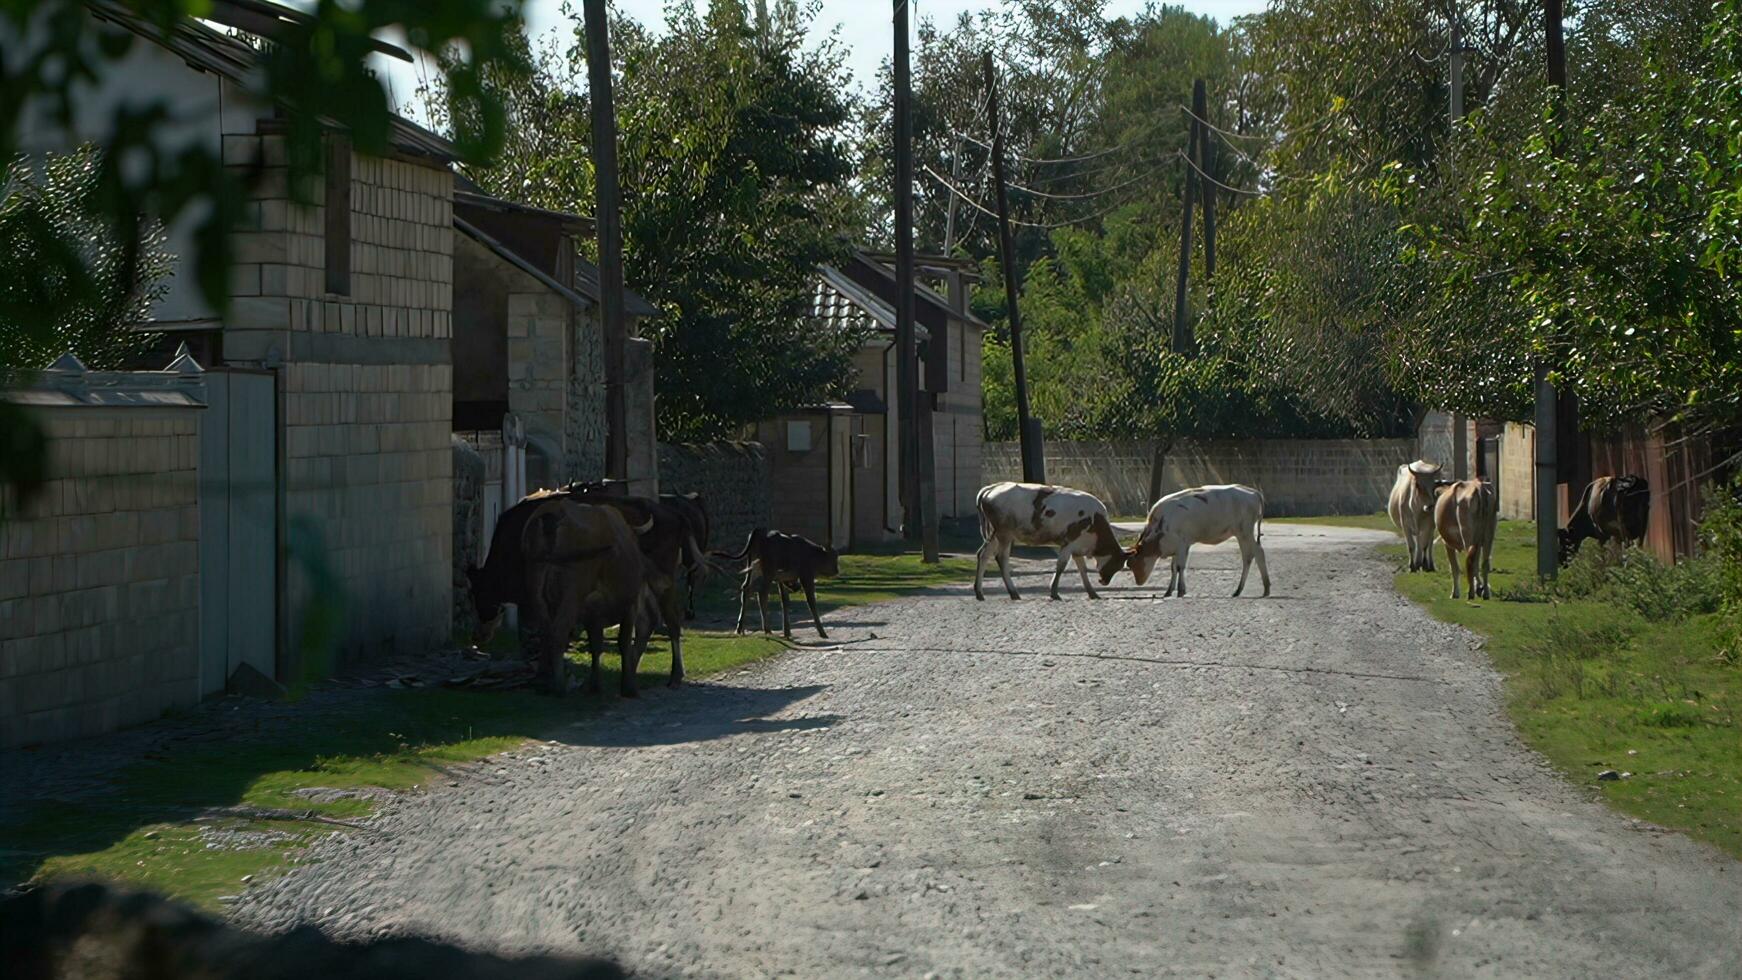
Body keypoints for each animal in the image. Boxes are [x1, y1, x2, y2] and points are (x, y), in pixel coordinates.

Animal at [710, 532, 839, 640]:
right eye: (834, 557)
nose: (837, 570)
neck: (813, 555)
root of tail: (759, 534)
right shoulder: (806, 576)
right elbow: (811, 601)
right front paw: (822, 632)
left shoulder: (781, 579)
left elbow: (785, 601)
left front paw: (787, 632)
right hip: (768, 572)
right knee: (761, 593)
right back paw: (767, 629)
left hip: (754, 569)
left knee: (746, 589)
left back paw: (740, 628)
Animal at [975, 480, 1121, 602]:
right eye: (1116, 564)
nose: (1104, 581)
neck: (1095, 520)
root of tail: (992, 488)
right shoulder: (1069, 542)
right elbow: (1061, 566)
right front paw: (1054, 593)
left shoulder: (1077, 547)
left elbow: (1082, 569)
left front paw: (1092, 593)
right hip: (1004, 534)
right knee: (1001, 558)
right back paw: (1013, 592)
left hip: (993, 535)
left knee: (983, 554)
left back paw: (979, 592)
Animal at [1114, 483, 1268, 598]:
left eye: (1132, 564)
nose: (1138, 582)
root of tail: (1252, 491)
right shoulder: (1176, 547)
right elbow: (1173, 568)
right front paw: (1169, 590)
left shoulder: (1182, 544)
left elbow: (1180, 566)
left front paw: (1181, 591)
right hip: (1241, 533)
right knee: (1248, 557)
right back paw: (1240, 590)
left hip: (1245, 531)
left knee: (1257, 553)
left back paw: (1264, 588)